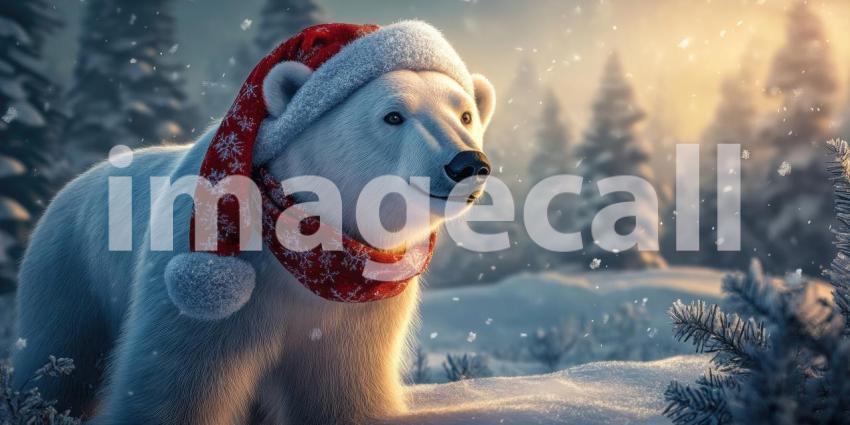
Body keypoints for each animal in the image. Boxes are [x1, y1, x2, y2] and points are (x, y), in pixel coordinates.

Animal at [12, 21, 495, 425]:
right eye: (393, 115)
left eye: (465, 114)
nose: (467, 163)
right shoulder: (202, 290)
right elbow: (177, 379)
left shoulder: (358, 308)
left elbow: (339, 389)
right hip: (70, 272)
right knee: (57, 358)